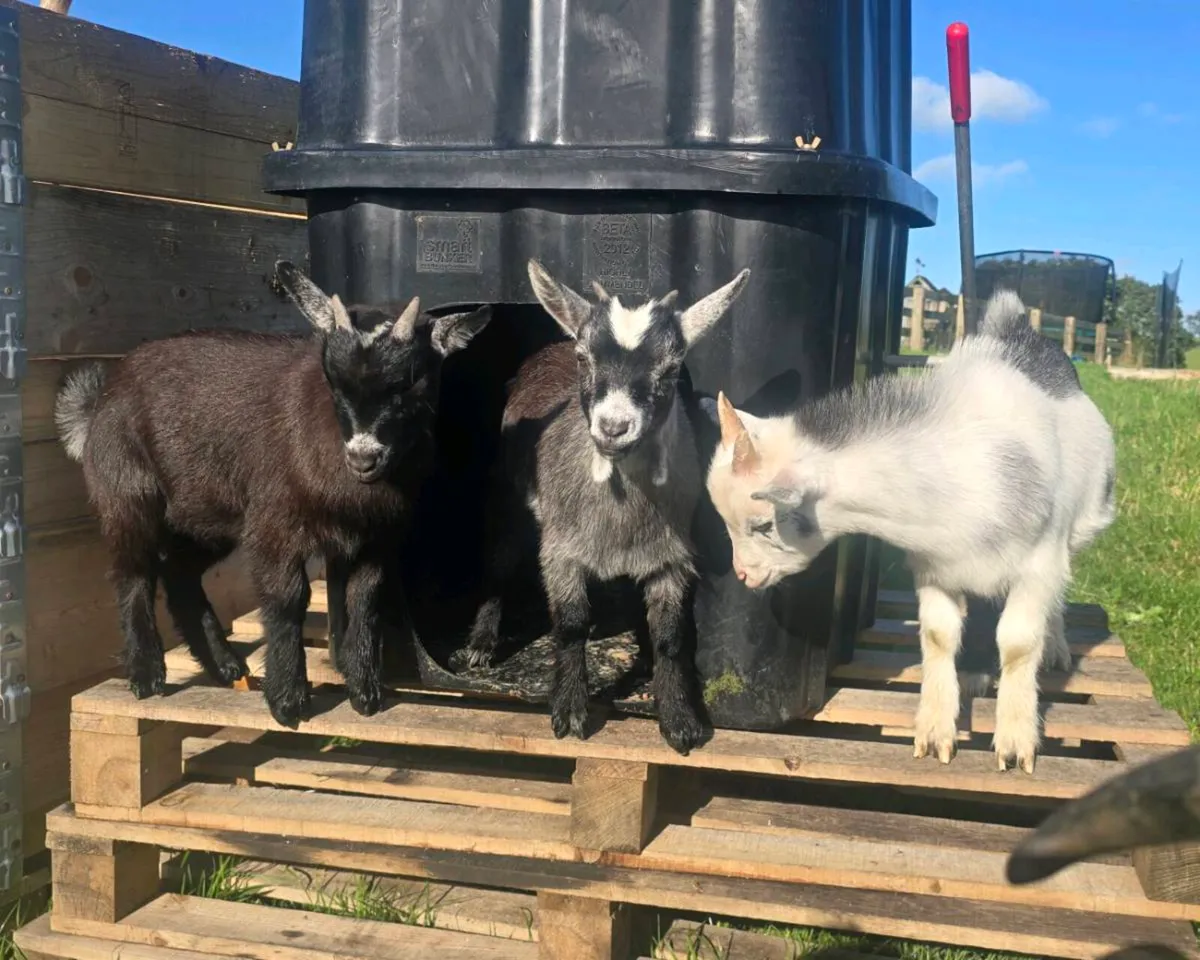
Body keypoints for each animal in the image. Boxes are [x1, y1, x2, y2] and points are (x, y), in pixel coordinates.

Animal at [55, 261, 491, 727]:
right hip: (128, 494)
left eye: (410, 384)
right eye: (333, 381)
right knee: (133, 573)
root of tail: (98, 401)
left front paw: (365, 693)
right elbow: (287, 600)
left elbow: (364, 600)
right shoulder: (274, 526)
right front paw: (288, 701)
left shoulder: (373, 538)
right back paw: (147, 675)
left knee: (179, 571)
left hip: (206, 512)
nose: (362, 459)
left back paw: (225, 665)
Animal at [462, 259, 750, 754]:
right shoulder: (560, 549)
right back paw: (482, 640)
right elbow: (570, 624)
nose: (614, 427)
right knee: (499, 560)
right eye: (585, 359)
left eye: (671, 369)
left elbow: (670, 636)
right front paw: (569, 710)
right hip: (510, 497)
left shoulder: (670, 557)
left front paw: (678, 719)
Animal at [704, 289, 1116, 773]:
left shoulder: (1037, 566)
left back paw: (1055, 649)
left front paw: (1016, 742)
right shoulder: (936, 568)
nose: (744, 576)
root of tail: (1019, 332)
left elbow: (1017, 643)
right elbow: (938, 636)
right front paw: (936, 733)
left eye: (764, 523)